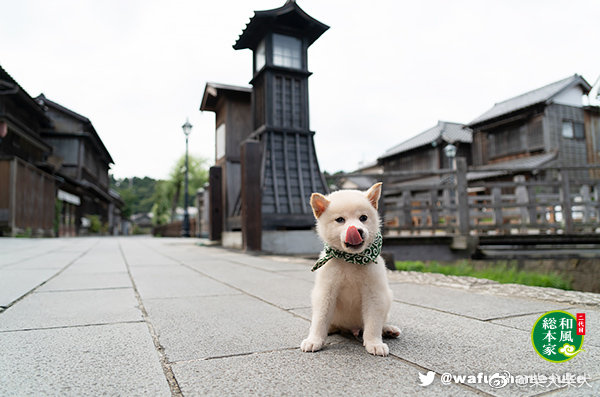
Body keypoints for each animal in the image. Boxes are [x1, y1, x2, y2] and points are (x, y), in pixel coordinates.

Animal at [298, 183, 398, 356]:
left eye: (363, 218)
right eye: (340, 220)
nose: (356, 230)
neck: (351, 260)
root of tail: (351, 328)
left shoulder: (374, 294)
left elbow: (373, 323)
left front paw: (374, 343)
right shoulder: (326, 291)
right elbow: (320, 319)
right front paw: (314, 340)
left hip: (387, 298)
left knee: (379, 321)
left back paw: (388, 329)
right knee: (330, 323)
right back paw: (330, 329)